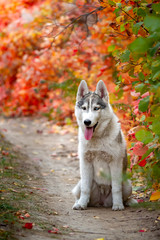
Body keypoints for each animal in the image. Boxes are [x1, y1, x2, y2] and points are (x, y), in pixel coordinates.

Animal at [72, 79, 136, 210]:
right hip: (80, 184)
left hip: (127, 185)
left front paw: (118, 205)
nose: (87, 122)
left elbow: (117, 189)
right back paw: (78, 203)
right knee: (79, 193)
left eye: (96, 108)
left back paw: (128, 202)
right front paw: (81, 204)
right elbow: (85, 189)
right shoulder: (85, 162)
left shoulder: (115, 162)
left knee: (125, 196)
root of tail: (101, 201)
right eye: (84, 108)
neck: (97, 138)